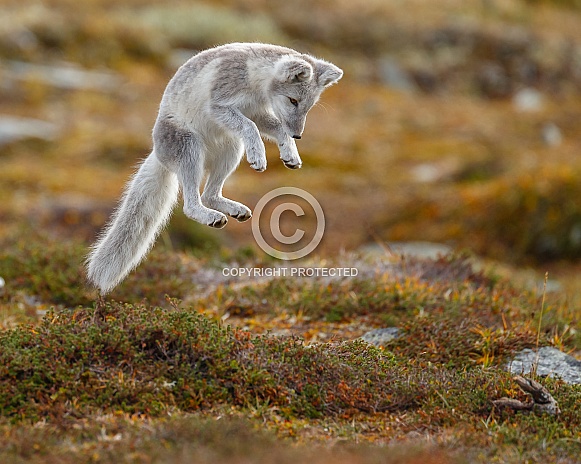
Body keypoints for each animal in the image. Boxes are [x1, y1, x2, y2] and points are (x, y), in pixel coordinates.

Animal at [84, 41, 342, 292]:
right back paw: (209, 216)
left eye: (308, 107)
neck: (254, 79)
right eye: (293, 100)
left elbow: (275, 128)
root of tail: (157, 153)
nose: (298, 135)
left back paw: (233, 209)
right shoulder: (221, 105)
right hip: (191, 147)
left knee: (210, 194)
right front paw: (259, 155)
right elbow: (250, 127)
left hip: (232, 148)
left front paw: (290, 153)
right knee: (190, 204)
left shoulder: (255, 111)